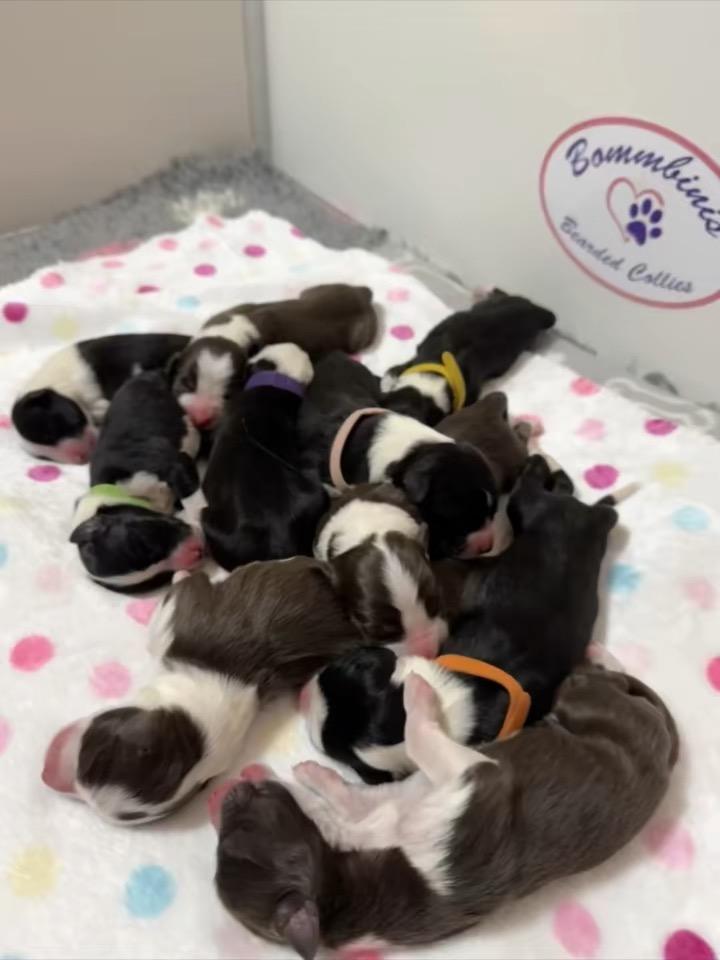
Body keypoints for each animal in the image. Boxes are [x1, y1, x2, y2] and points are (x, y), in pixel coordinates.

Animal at [69, 369, 202, 590]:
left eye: (145, 544)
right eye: (159, 579)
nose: (197, 552)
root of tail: (144, 375)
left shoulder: (174, 464)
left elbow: (193, 500)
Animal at [170, 284, 378, 430]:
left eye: (228, 395)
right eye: (185, 382)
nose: (200, 419)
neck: (228, 334)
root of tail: (362, 293)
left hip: (361, 335)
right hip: (314, 290)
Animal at [212, 665, 677, 958]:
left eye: (230, 836)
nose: (230, 792)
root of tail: (668, 757)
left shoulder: (391, 804)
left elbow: (353, 791)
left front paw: (312, 772)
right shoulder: (469, 779)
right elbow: (418, 740)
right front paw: (418, 692)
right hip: (593, 706)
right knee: (594, 686)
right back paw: (594, 664)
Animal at [380, 290, 555, 425]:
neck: (436, 372)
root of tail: (533, 309)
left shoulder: (471, 390)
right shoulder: (420, 352)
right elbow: (401, 367)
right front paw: (389, 378)